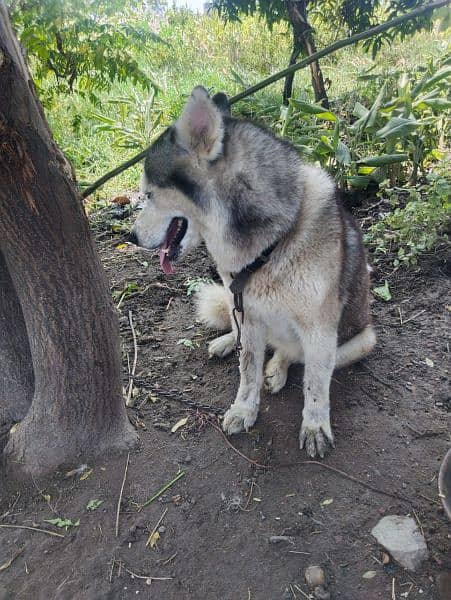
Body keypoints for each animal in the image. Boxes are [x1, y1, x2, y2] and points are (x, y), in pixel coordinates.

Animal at [131, 86, 378, 458]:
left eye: (149, 194)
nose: (130, 236)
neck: (269, 246)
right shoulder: (247, 313)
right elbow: (247, 369)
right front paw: (244, 409)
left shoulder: (319, 329)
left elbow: (315, 384)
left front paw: (315, 427)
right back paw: (228, 344)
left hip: (361, 341)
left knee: (294, 354)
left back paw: (276, 368)